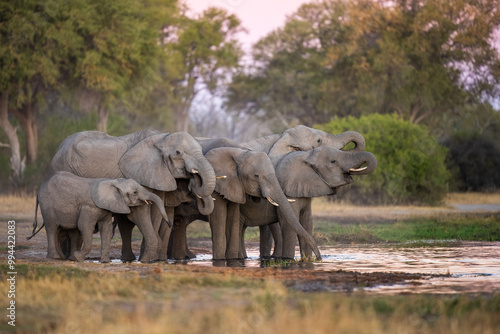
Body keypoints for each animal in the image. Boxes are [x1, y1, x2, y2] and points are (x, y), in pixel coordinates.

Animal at [27, 172, 170, 264]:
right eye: (135, 192)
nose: (169, 223)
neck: (112, 181)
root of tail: (40, 188)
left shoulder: (105, 207)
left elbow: (106, 228)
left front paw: (105, 262)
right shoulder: (89, 206)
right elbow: (85, 226)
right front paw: (79, 258)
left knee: (69, 231)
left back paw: (67, 258)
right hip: (47, 206)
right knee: (52, 228)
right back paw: (56, 257)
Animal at [49, 129, 216, 262]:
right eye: (178, 153)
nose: (193, 178)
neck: (161, 137)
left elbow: (156, 211)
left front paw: (150, 258)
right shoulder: (137, 174)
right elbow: (141, 212)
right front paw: (148, 259)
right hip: (62, 168)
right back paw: (66, 256)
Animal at [238, 147, 376, 260]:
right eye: (333, 161)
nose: (320, 257)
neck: (307, 155)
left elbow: (307, 223)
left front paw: (308, 260)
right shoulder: (289, 191)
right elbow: (289, 225)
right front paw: (288, 260)